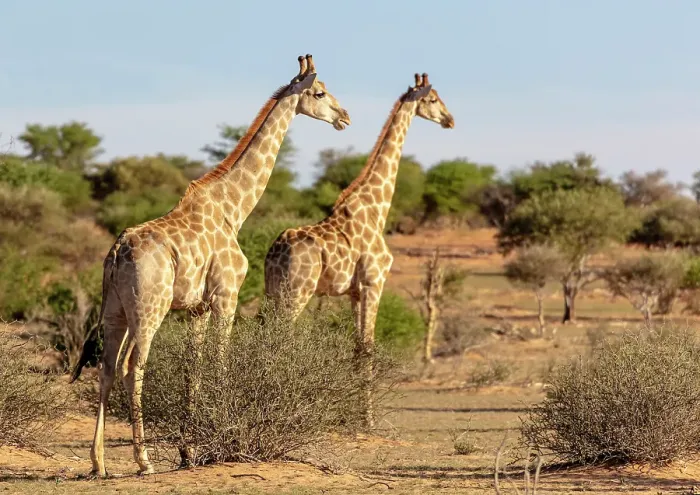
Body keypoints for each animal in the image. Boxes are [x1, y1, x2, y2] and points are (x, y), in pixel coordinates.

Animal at [70, 54, 351, 478]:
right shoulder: (226, 296)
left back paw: (99, 463)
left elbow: (194, 370)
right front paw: (223, 437)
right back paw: (143, 461)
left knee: (106, 368)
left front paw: (188, 451)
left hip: (115, 310)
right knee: (134, 367)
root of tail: (117, 251)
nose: (345, 116)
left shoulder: (196, 308)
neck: (234, 207)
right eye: (319, 92)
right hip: (150, 308)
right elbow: (220, 363)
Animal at [264, 73, 454, 425]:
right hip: (296, 292)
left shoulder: (353, 291)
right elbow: (367, 347)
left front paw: (354, 415)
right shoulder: (372, 283)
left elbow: (356, 347)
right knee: (278, 340)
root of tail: (274, 252)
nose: (450, 120)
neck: (377, 207)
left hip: (272, 291)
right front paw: (368, 419)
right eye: (433, 99)